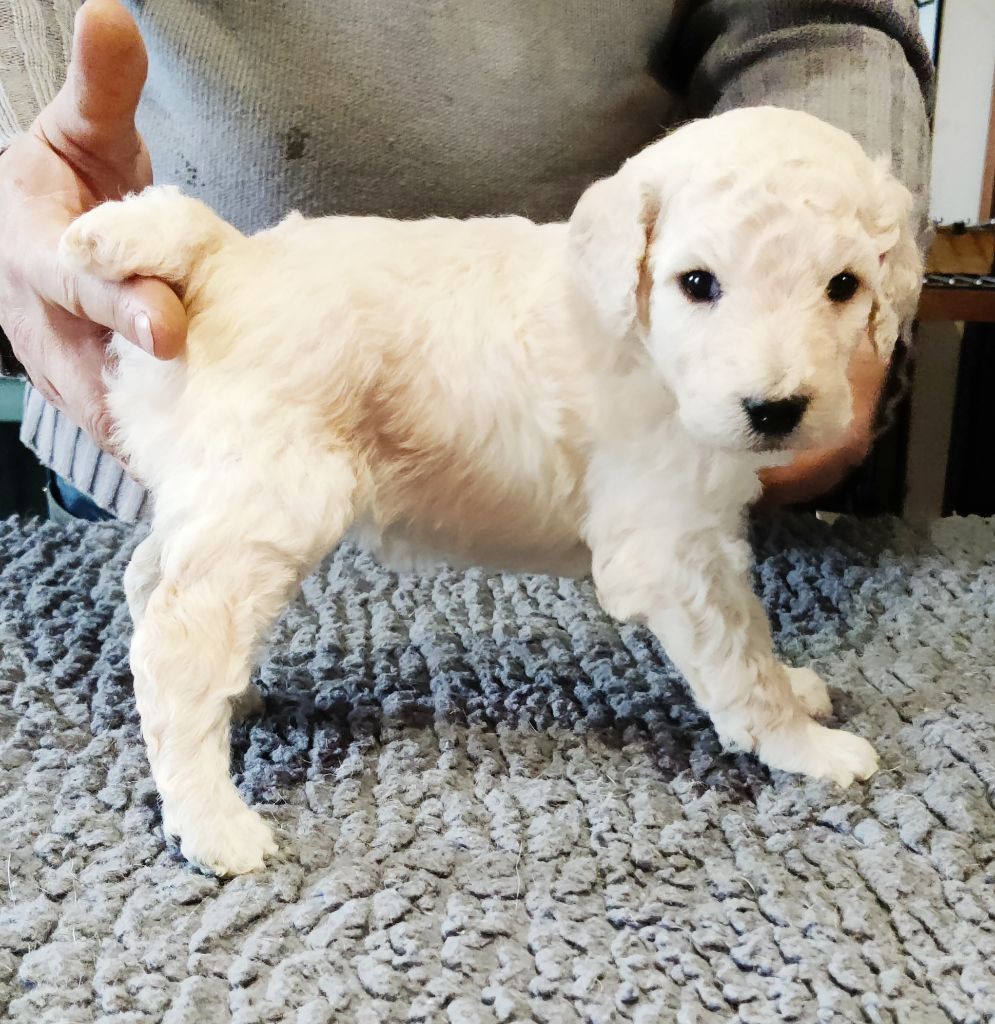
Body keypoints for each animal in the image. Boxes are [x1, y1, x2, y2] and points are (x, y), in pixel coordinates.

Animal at [58, 106, 922, 875]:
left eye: (843, 286)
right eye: (697, 283)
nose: (775, 410)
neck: (635, 330)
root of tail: (221, 258)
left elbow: (754, 642)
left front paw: (796, 689)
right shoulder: (673, 552)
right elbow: (740, 658)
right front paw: (806, 746)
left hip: (218, 489)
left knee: (152, 583)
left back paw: (232, 702)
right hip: (274, 496)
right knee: (177, 646)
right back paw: (214, 825)